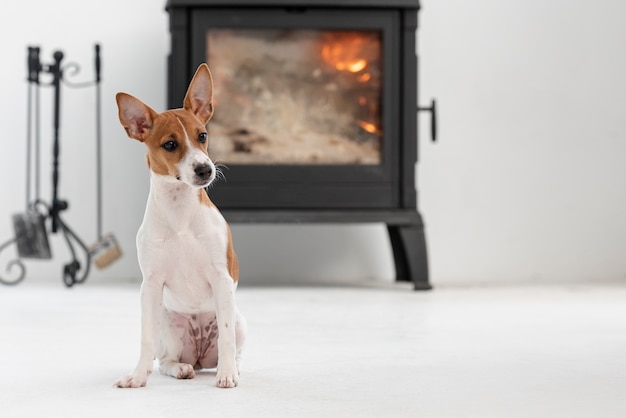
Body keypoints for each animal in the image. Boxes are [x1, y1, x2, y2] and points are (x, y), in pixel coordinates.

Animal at [113, 64, 245, 388]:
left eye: (203, 136)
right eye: (170, 145)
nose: (205, 169)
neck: (180, 213)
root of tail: (200, 358)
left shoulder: (222, 279)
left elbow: (226, 339)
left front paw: (227, 375)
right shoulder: (150, 286)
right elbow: (145, 340)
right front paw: (137, 376)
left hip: (239, 320)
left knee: (232, 346)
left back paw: (230, 368)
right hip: (169, 325)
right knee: (166, 361)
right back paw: (180, 368)